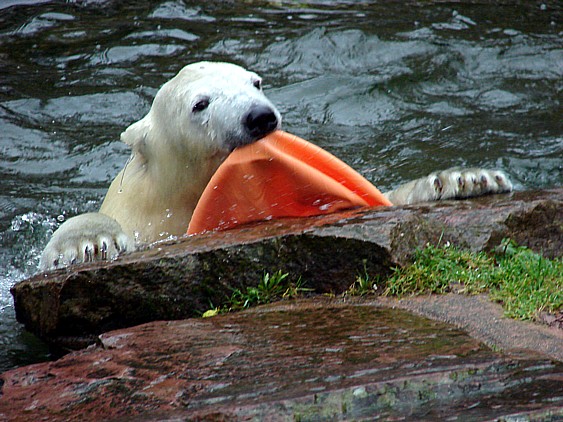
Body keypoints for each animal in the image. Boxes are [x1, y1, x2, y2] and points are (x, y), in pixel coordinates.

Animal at [39, 61, 512, 270]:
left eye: (256, 82)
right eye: (200, 104)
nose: (259, 116)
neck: (180, 191)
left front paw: (467, 180)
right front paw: (89, 242)